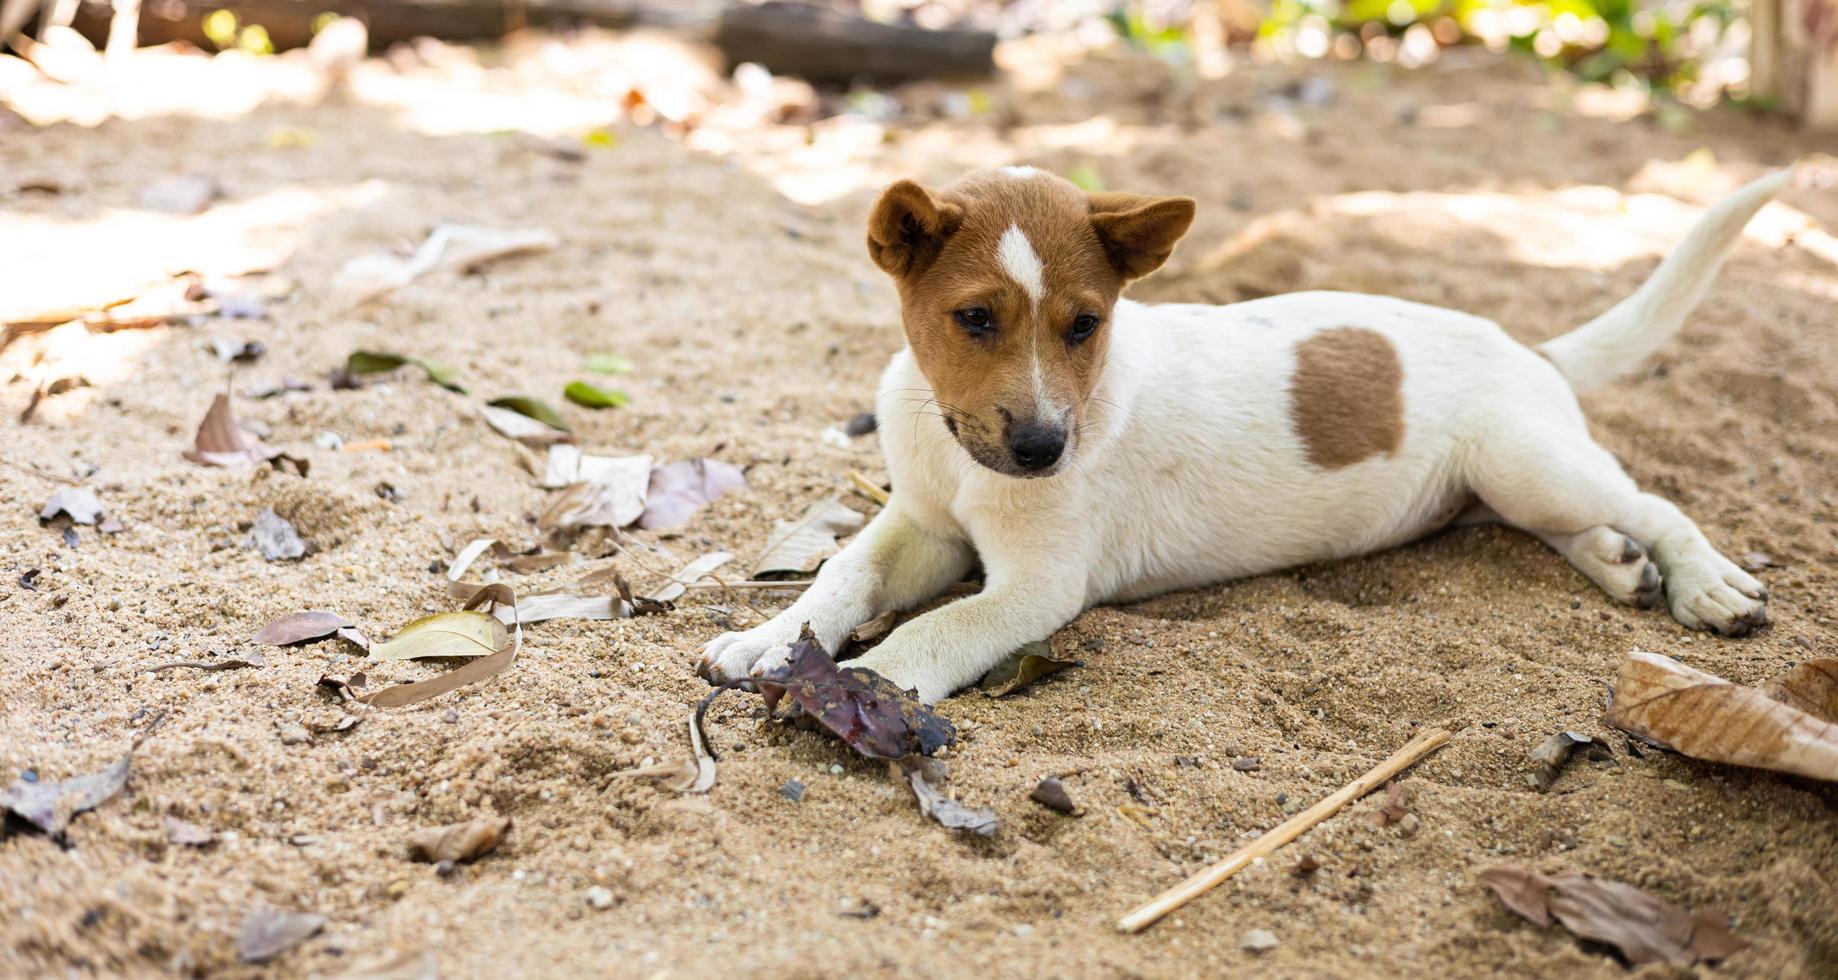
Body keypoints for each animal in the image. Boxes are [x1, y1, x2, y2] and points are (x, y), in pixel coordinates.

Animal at [694, 168, 1786, 702]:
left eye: (1084, 325)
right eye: (972, 319)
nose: (1045, 450)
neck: (958, 447)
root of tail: (1528, 347)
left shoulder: (1037, 586)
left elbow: (936, 627)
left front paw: (864, 683)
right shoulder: (921, 523)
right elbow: (840, 576)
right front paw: (766, 642)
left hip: (1524, 461)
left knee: (1652, 501)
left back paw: (1701, 582)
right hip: (1511, 486)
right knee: (1581, 524)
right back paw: (1615, 563)